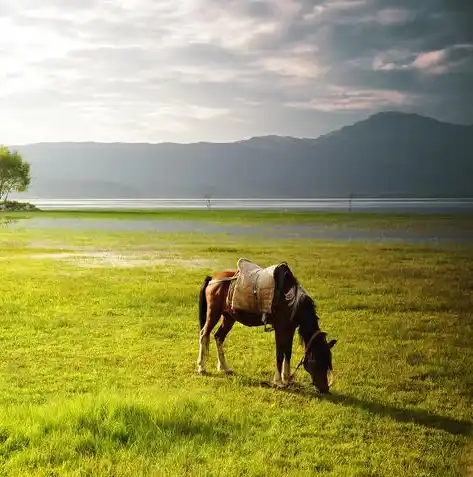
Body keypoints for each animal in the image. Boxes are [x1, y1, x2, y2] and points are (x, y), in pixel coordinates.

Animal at [195, 258, 336, 392]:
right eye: (318, 360)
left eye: (328, 360)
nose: (325, 389)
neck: (291, 301)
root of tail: (212, 279)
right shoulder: (280, 329)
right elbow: (279, 354)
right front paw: (278, 382)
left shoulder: (290, 329)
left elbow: (287, 353)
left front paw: (287, 379)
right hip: (213, 314)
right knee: (204, 334)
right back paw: (201, 367)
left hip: (229, 317)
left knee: (219, 337)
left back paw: (225, 368)